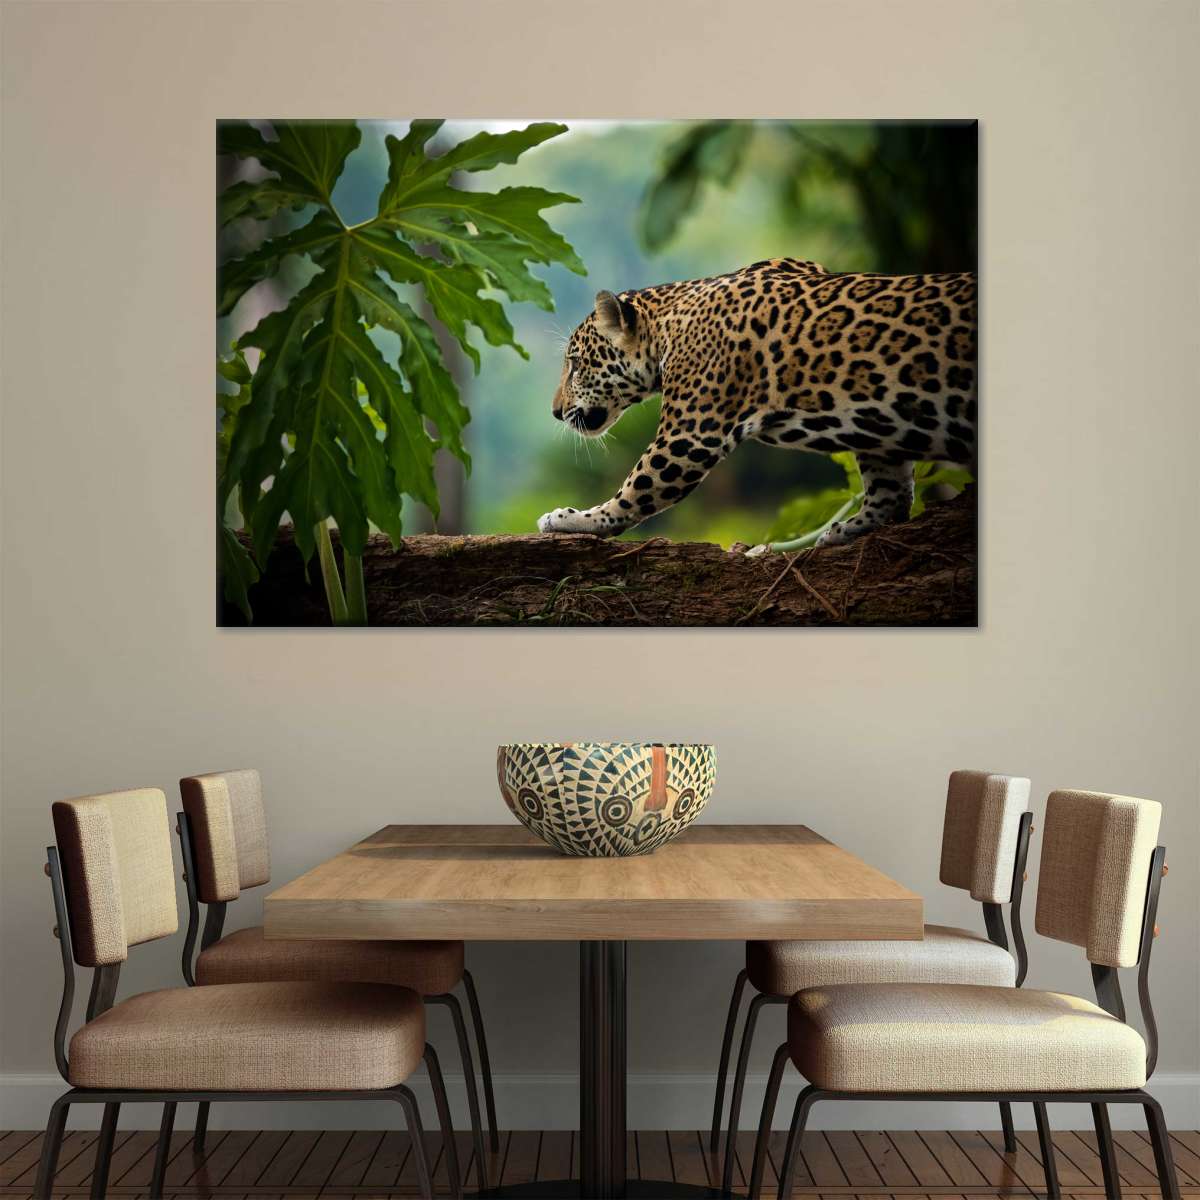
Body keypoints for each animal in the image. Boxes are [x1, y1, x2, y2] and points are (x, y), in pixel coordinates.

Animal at [536, 257, 976, 549]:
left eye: (575, 364)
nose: (555, 412)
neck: (667, 326)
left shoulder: (689, 437)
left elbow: (635, 490)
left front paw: (574, 519)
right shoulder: (877, 433)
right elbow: (891, 489)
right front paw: (852, 527)